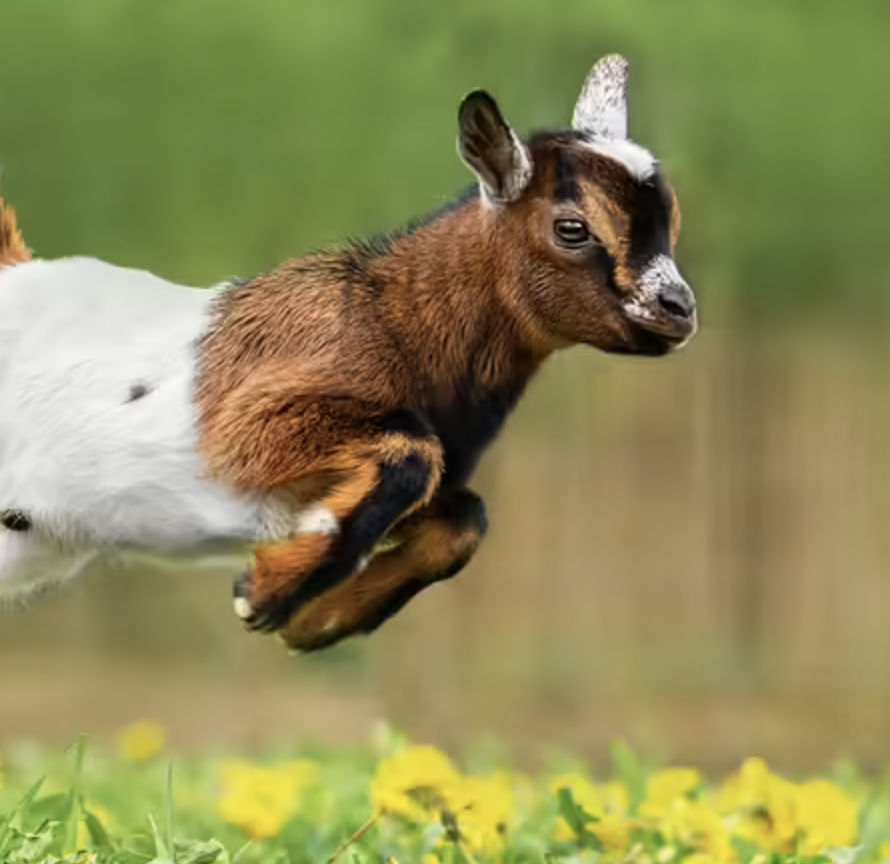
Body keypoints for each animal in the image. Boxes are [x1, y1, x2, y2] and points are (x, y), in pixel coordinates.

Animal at [0, 54, 697, 653]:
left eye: (672, 219)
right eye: (572, 228)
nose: (679, 309)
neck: (389, 321)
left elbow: (465, 516)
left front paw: (315, 621)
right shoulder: (244, 425)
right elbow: (414, 452)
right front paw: (265, 594)